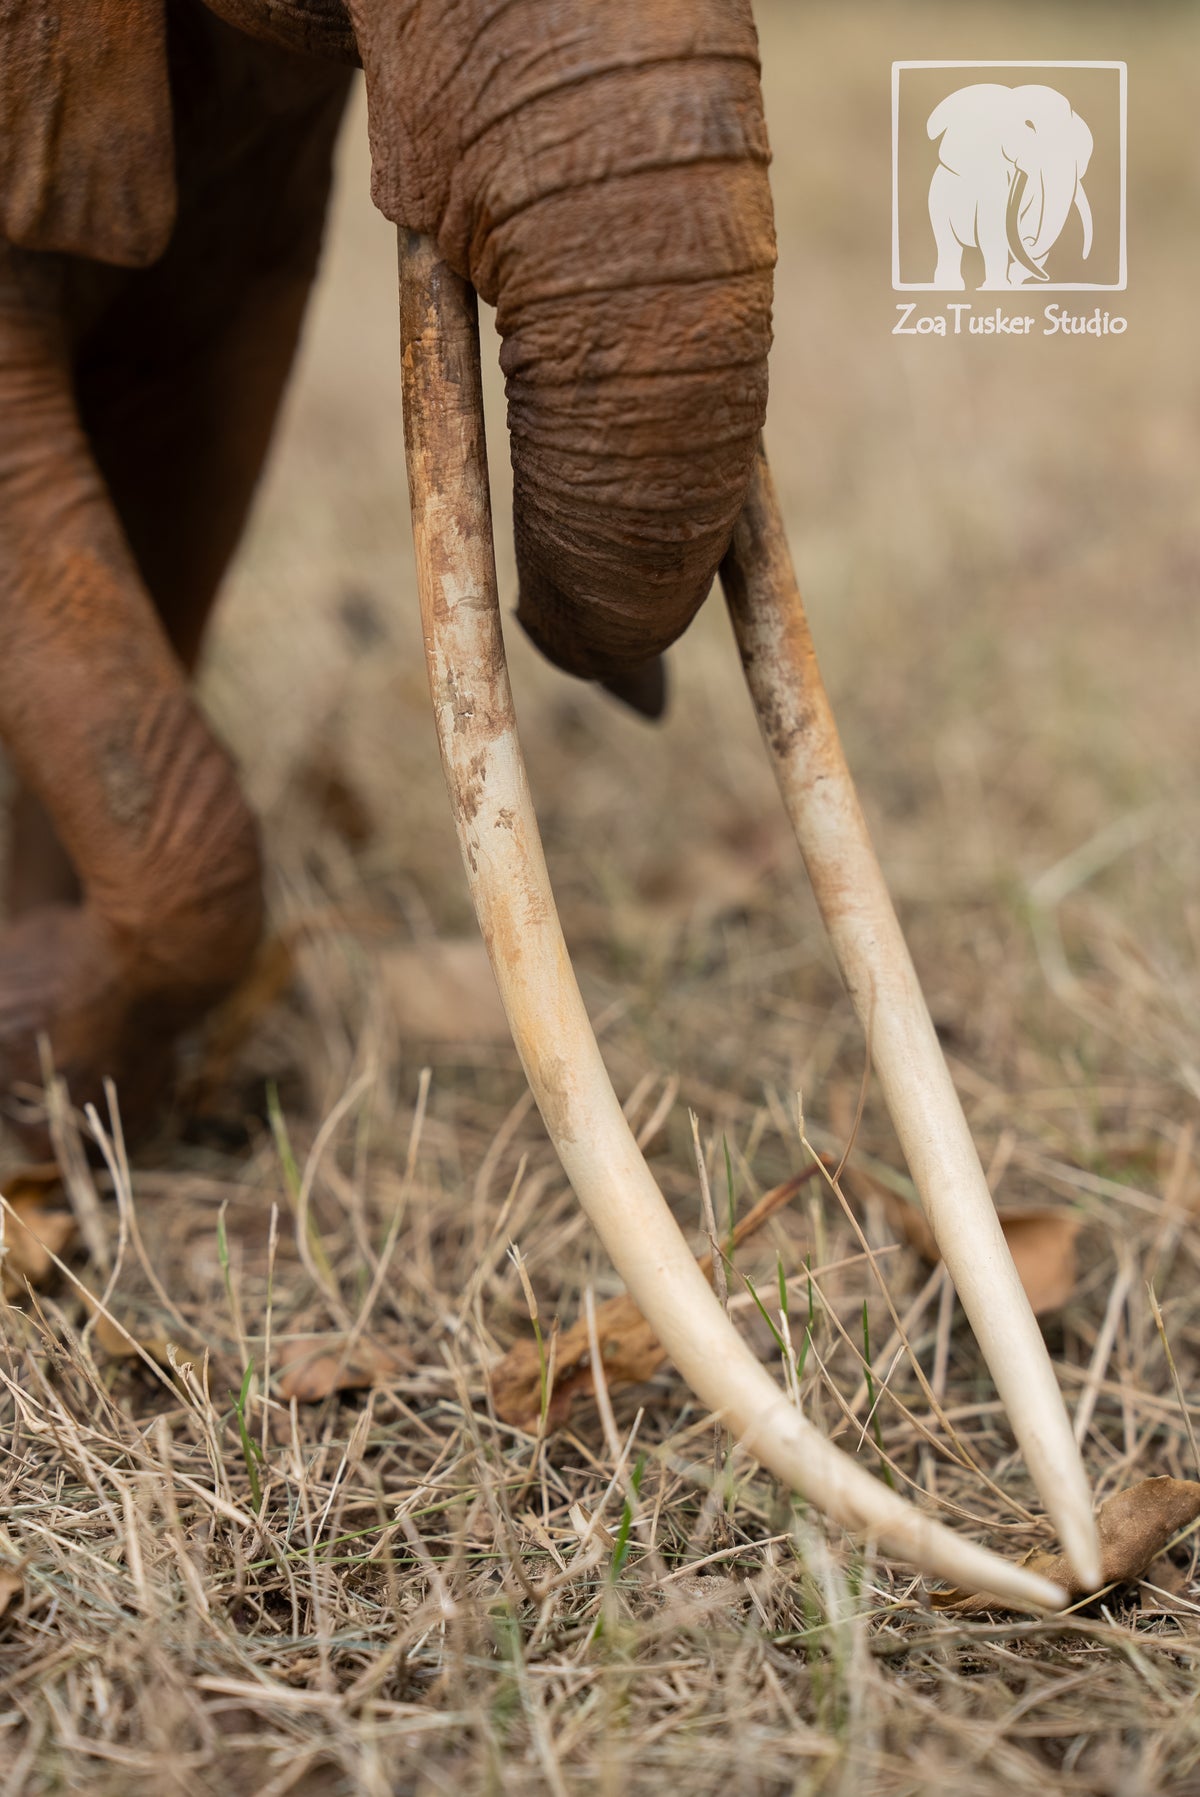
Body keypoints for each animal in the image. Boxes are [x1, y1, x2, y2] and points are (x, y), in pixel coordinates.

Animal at [926, 83, 1093, 290]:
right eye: (1029, 124)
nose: (1029, 241)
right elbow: (993, 231)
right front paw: (996, 286)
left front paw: (1011, 279)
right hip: (938, 201)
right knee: (947, 242)